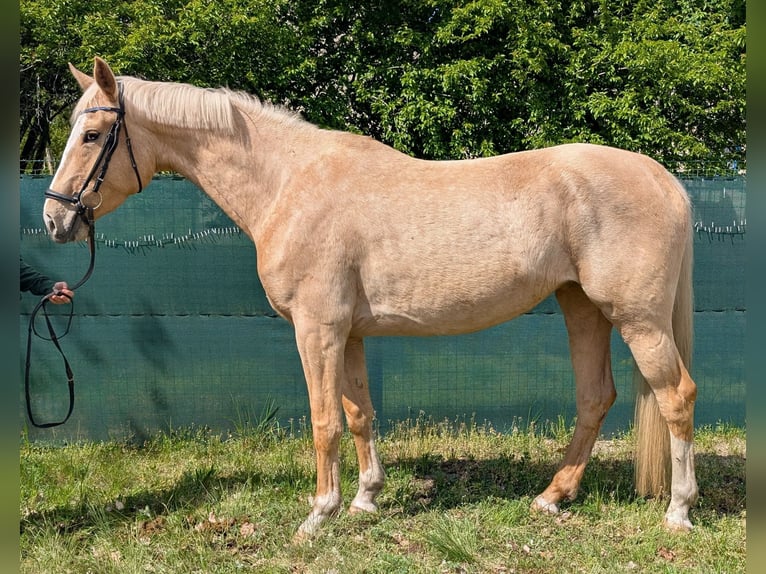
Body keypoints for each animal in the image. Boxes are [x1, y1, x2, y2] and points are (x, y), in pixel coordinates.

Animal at [44, 57, 698, 537]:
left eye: (94, 134)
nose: (55, 219)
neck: (289, 182)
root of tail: (661, 176)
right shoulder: (350, 333)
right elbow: (358, 414)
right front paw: (364, 500)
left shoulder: (316, 329)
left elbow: (324, 420)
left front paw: (318, 515)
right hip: (580, 306)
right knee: (595, 398)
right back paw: (552, 497)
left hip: (637, 319)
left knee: (677, 398)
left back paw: (678, 511)